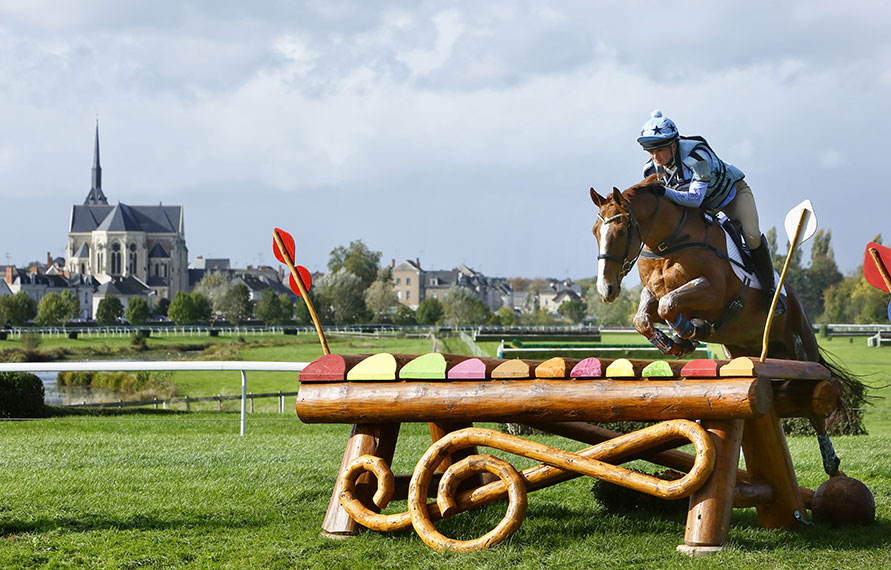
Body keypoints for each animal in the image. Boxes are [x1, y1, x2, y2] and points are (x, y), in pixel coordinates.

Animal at [588, 173, 868, 444]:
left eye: (621, 231)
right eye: (595, 232)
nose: (606, 289)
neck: (669, 243)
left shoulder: (713, 294)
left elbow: (670, 305)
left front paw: (692, 332)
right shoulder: (655, 294)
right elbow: (645, 317)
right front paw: (674, 343)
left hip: (802, 352)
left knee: (815, 407)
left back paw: (830, 457)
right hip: (741, 351)